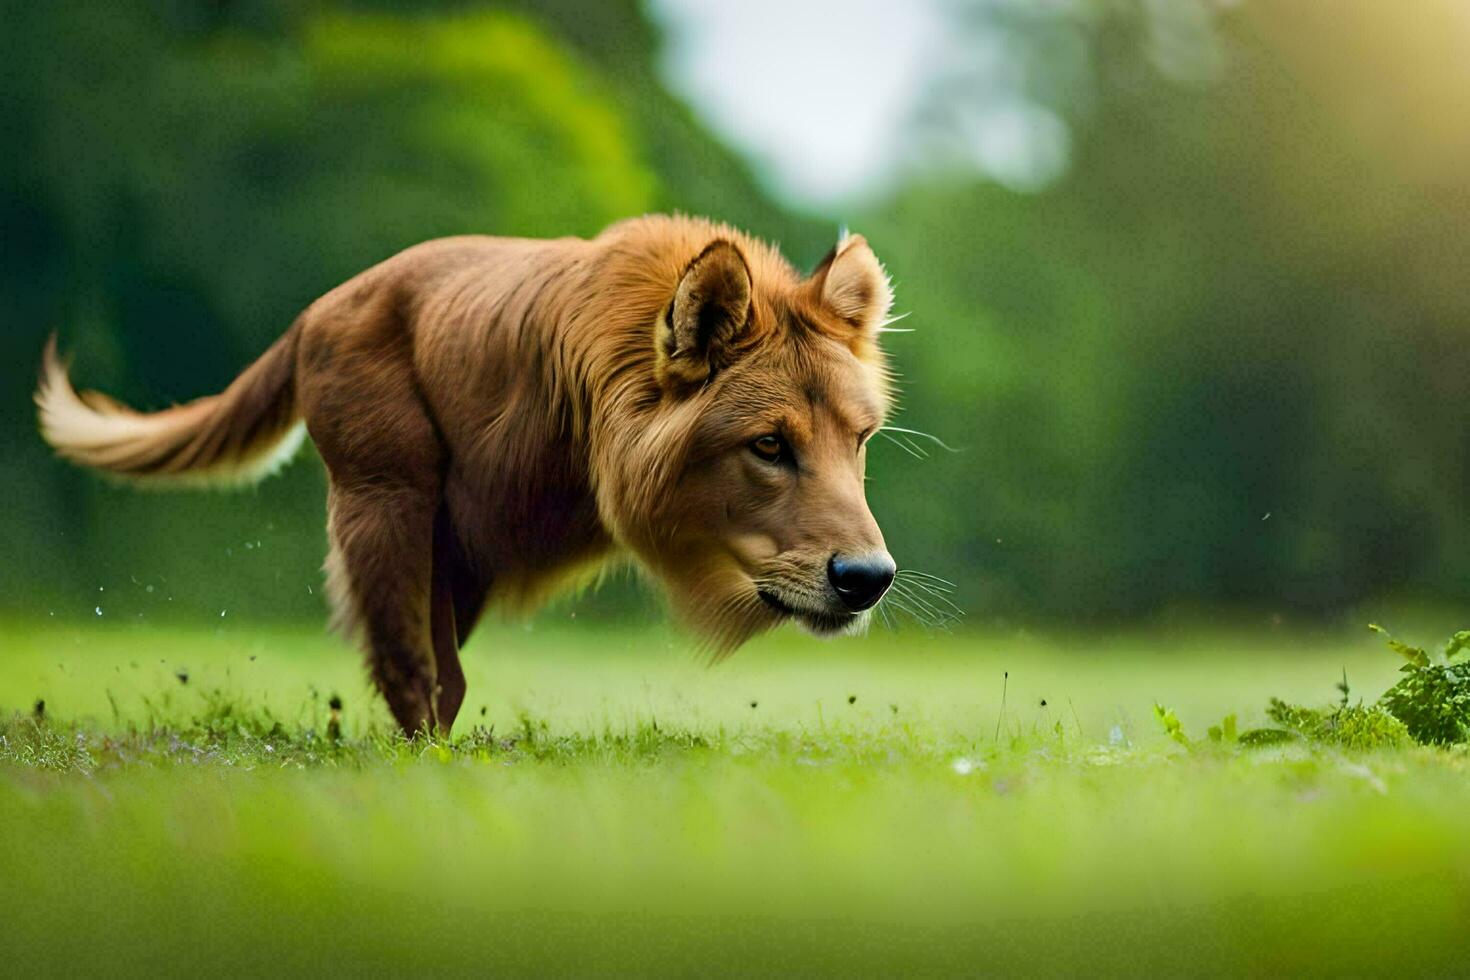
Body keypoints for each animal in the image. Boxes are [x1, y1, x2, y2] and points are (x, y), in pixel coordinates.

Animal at [34, 215, 899, 734]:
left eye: (859, 440)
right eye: (769, 446)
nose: (866, 578)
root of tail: (316, 310)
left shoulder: (461, 559)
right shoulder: (418, 533)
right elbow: (419, 669)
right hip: (388, 501)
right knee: (410, 667)